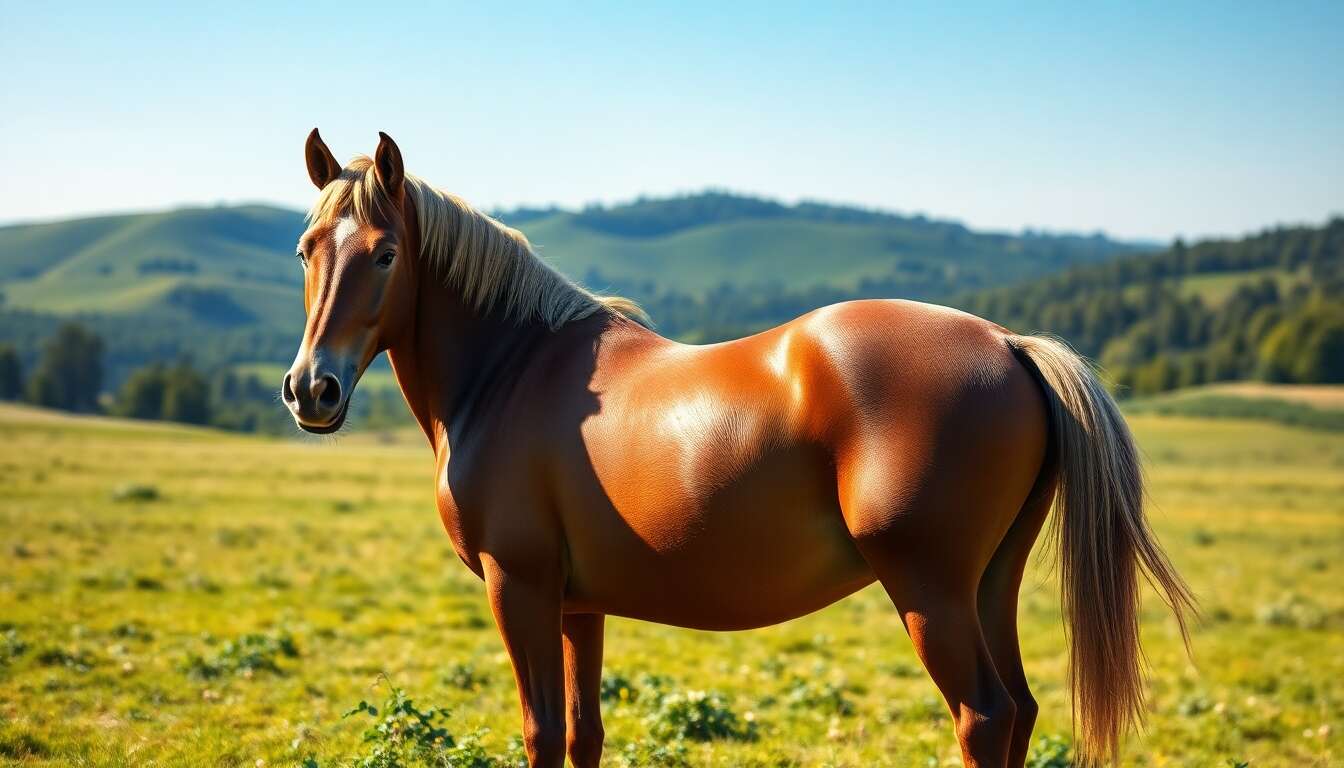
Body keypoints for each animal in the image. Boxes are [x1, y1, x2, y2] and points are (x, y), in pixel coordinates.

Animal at [282, 130, 1194, 768]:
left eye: (386, 253)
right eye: (306, 250)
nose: (310, 390)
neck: (512, 365)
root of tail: (1007, 343)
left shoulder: (522, 588)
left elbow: (540, 734)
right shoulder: (578, 606)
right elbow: (582, 734)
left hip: (930, 591)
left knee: (985, 717)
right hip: (989, 585)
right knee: (1021, 712)